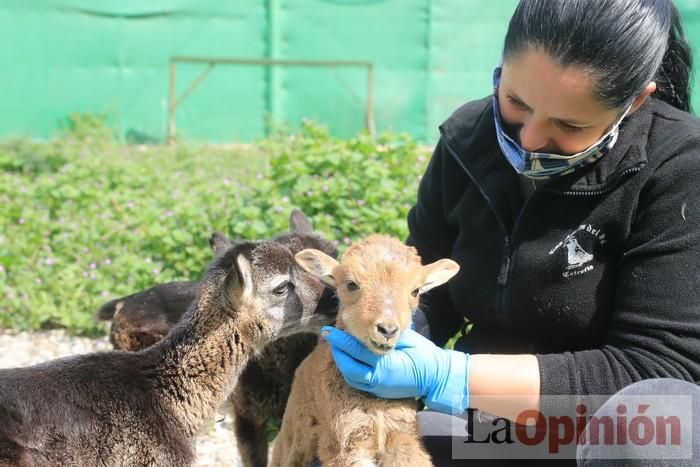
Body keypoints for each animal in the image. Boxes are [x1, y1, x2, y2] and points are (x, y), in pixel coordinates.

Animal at [272, 236, 460, 467]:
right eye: (351, 284)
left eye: (416, 291)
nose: (387, 330)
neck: (374, 404)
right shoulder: (345, 442)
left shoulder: (402, 434)